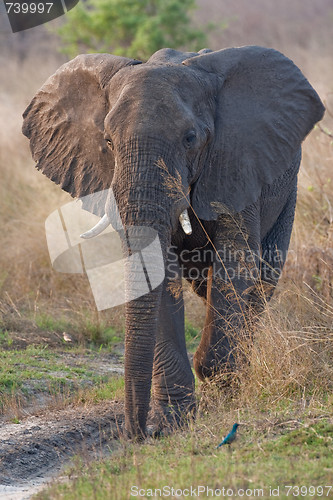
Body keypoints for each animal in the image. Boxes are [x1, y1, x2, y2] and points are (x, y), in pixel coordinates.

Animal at [21, 46, 324, 438]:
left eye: (190, 139)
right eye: (107, 142)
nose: (137, 433)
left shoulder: (236, 162)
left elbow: (236, 261)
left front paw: (220, 388)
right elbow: (156, 272)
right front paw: (171, 422)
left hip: (287, 191)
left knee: (261, 284)